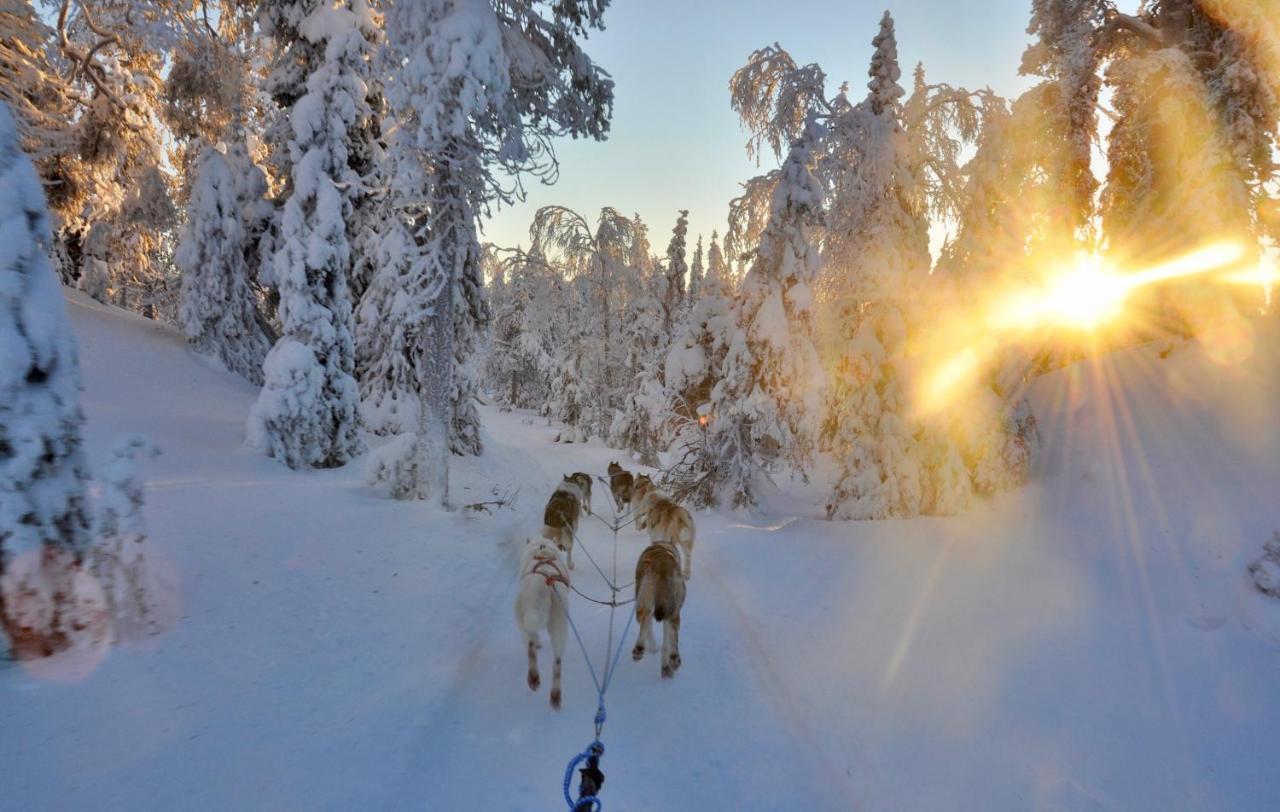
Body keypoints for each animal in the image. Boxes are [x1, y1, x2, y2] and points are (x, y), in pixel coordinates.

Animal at [514, 535, 570, 706]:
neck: (543, 549)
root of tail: (545, 583)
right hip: (560, 624)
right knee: (557, 663)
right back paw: (555, 695)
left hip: (523, 618)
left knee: (531, 646)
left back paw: (533, 676)